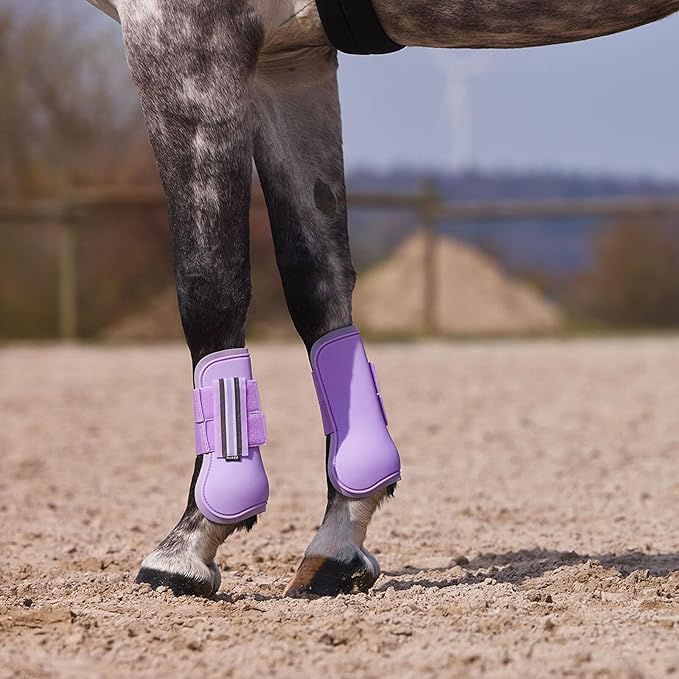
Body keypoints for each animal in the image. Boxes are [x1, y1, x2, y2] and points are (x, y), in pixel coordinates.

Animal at [83, 0, 679, 597]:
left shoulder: (188, 37)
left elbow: (209, 284)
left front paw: (188, 545)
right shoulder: (289, 61)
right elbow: (315, 278)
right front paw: (341, 536)